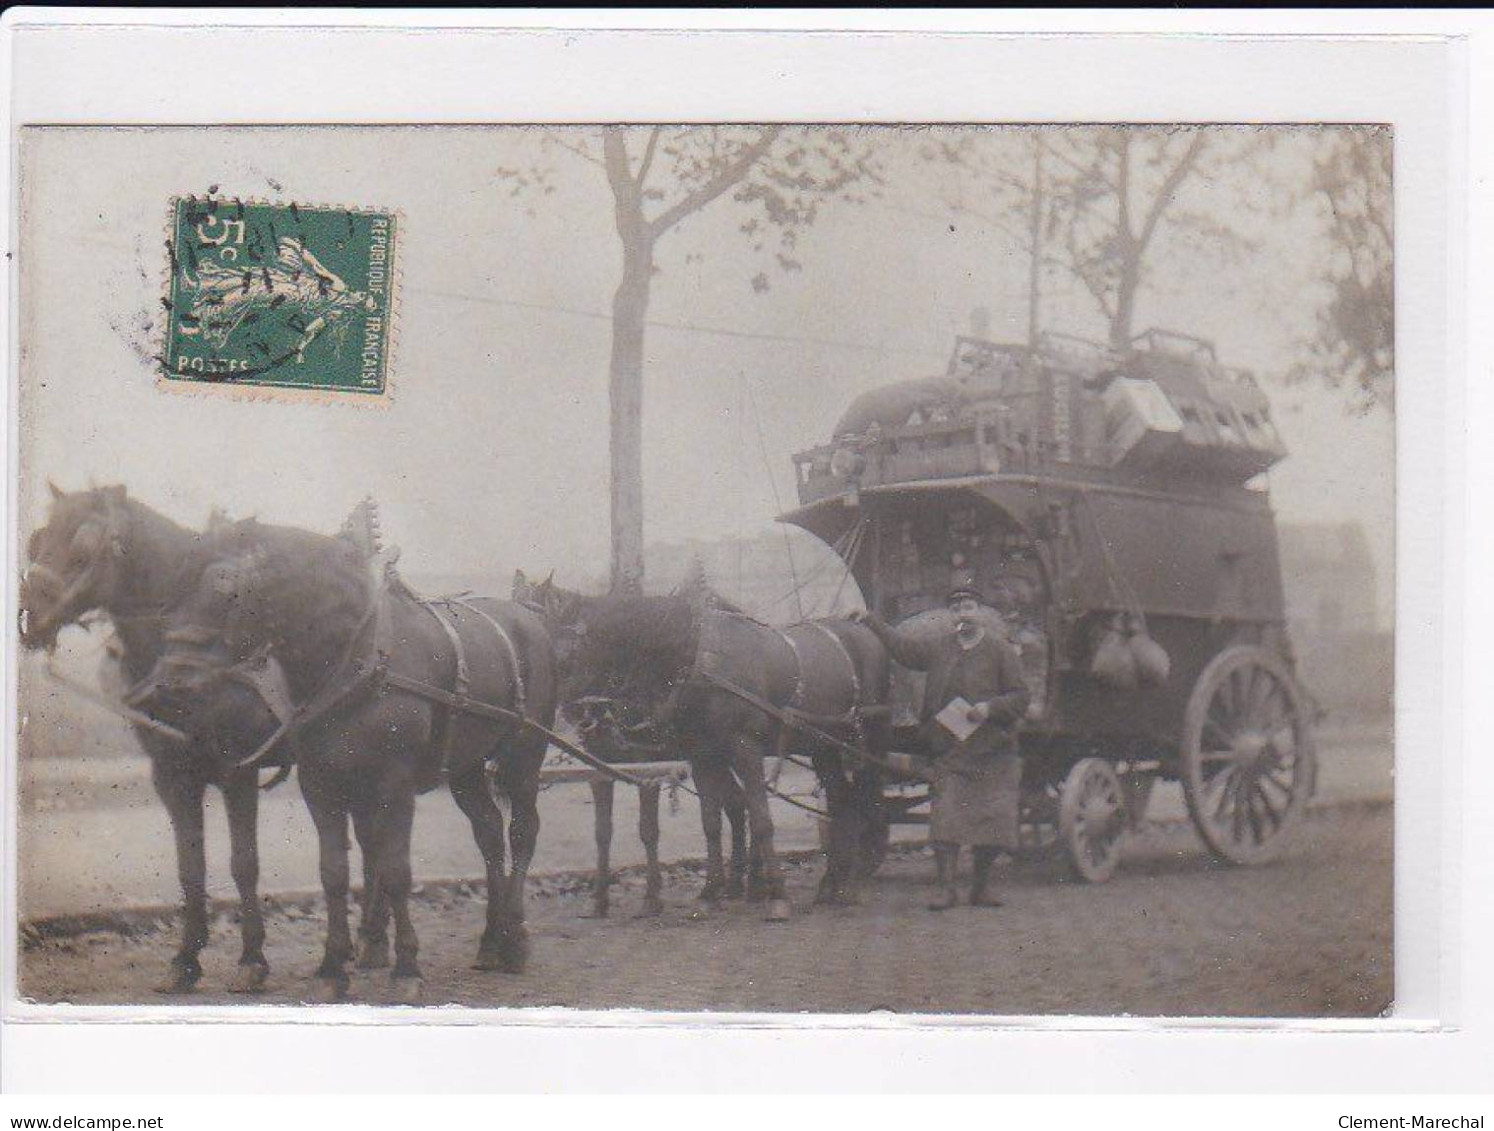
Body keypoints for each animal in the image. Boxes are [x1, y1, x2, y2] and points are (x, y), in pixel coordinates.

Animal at [18, 481, 274, 992]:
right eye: (39, 540)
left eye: (84, 547)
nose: (29, 617)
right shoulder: (171, 775)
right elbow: (189, 867)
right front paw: (185, 960)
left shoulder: (238, 772)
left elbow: (244, 863)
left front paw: (252, 959)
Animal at [537, 585, 890, 914]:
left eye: (566, 651)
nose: (575, 715)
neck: (699, 660)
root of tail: (863, 629)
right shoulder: (699, 755)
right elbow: (708, 821)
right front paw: (709, 893)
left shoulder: (736, 750)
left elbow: (759, 819)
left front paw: (778, 896)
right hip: (823, 747)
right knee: (839, 801)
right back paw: (825, 884)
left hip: (866, 740)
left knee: (864, 799)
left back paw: (848, 883)